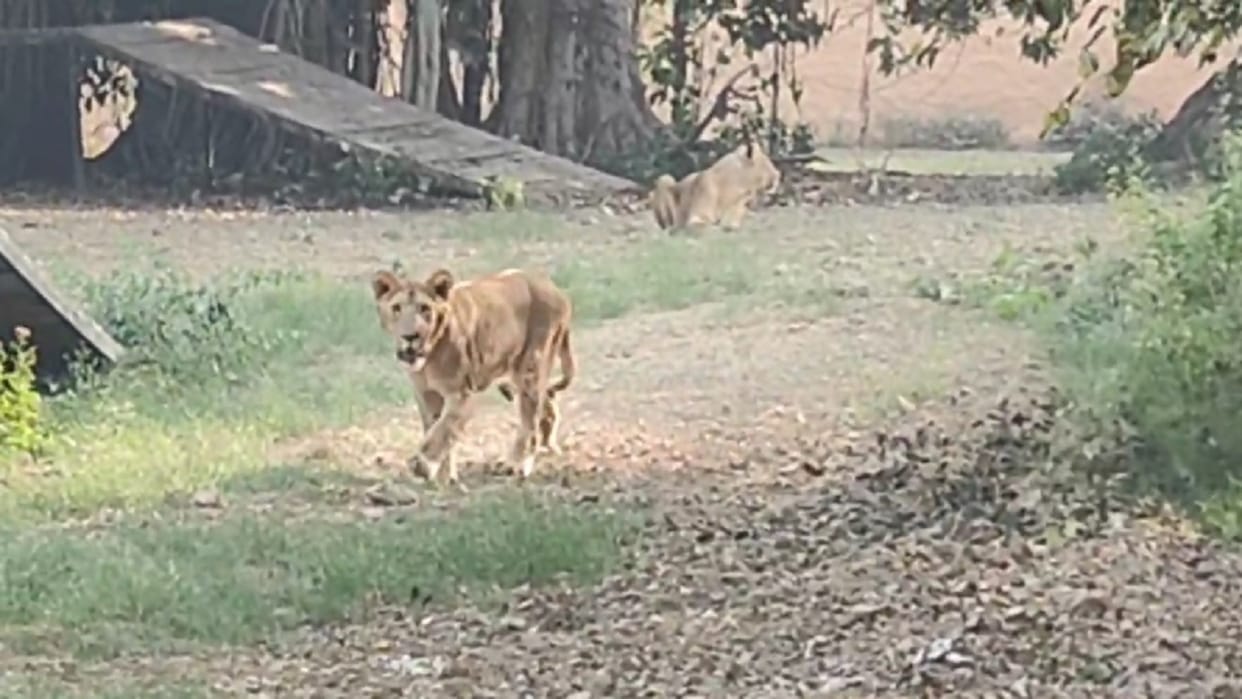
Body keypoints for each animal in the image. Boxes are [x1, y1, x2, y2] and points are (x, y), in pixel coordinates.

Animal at [371, 266, 576, 487]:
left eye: (425, 308)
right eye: (396, 308)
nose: (410, 336)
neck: (429, 356)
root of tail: (555, 289)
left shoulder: (461, 394)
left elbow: (444, 429)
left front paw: (423, 465)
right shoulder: (426, 394)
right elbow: (436, 428)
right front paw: (444, 477)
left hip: (531, 368)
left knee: (530, 423)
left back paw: (517, 465)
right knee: (547, 406)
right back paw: (547, 447)